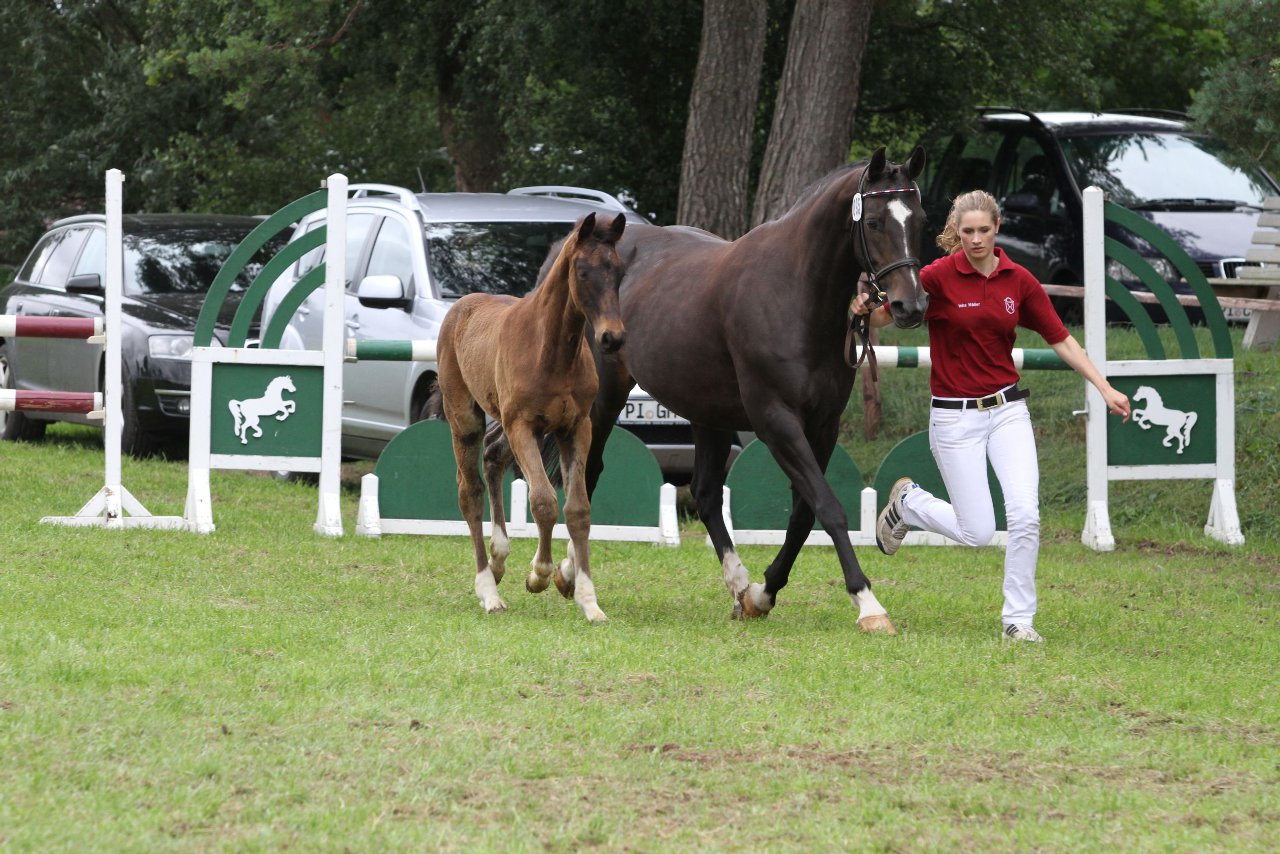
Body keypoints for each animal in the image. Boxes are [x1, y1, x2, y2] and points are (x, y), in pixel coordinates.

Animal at [435, 213, 624, 624]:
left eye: (619, 270)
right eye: (582, 272)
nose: (612, 338)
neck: (551, 350)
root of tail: (462, 305)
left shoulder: (576, 427)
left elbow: (577, 509)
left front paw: (588, 600)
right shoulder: (521, 424)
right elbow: (543, 502)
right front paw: (539, 574)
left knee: (493, 457)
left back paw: (498, 560)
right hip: (467, 419)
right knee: (470, 491)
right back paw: (488, 590)